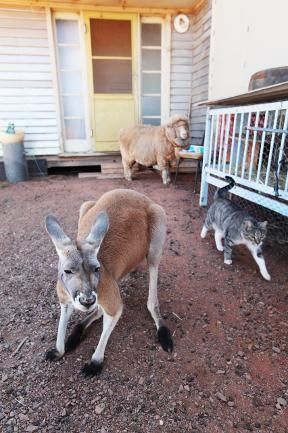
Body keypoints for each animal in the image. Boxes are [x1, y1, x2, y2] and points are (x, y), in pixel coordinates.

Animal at [44, 188, 172, 374]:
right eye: (67, 271)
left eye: (97, 269)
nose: (87, 300)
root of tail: (137, 193)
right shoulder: (65, 298)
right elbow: (63, 321)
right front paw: (58, 350)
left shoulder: (111, 299)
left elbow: (112, 315)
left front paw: (95, 362)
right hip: (86, 205)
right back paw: (75, 335)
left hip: (158, 223)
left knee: (152, 288)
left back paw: (163, 333)